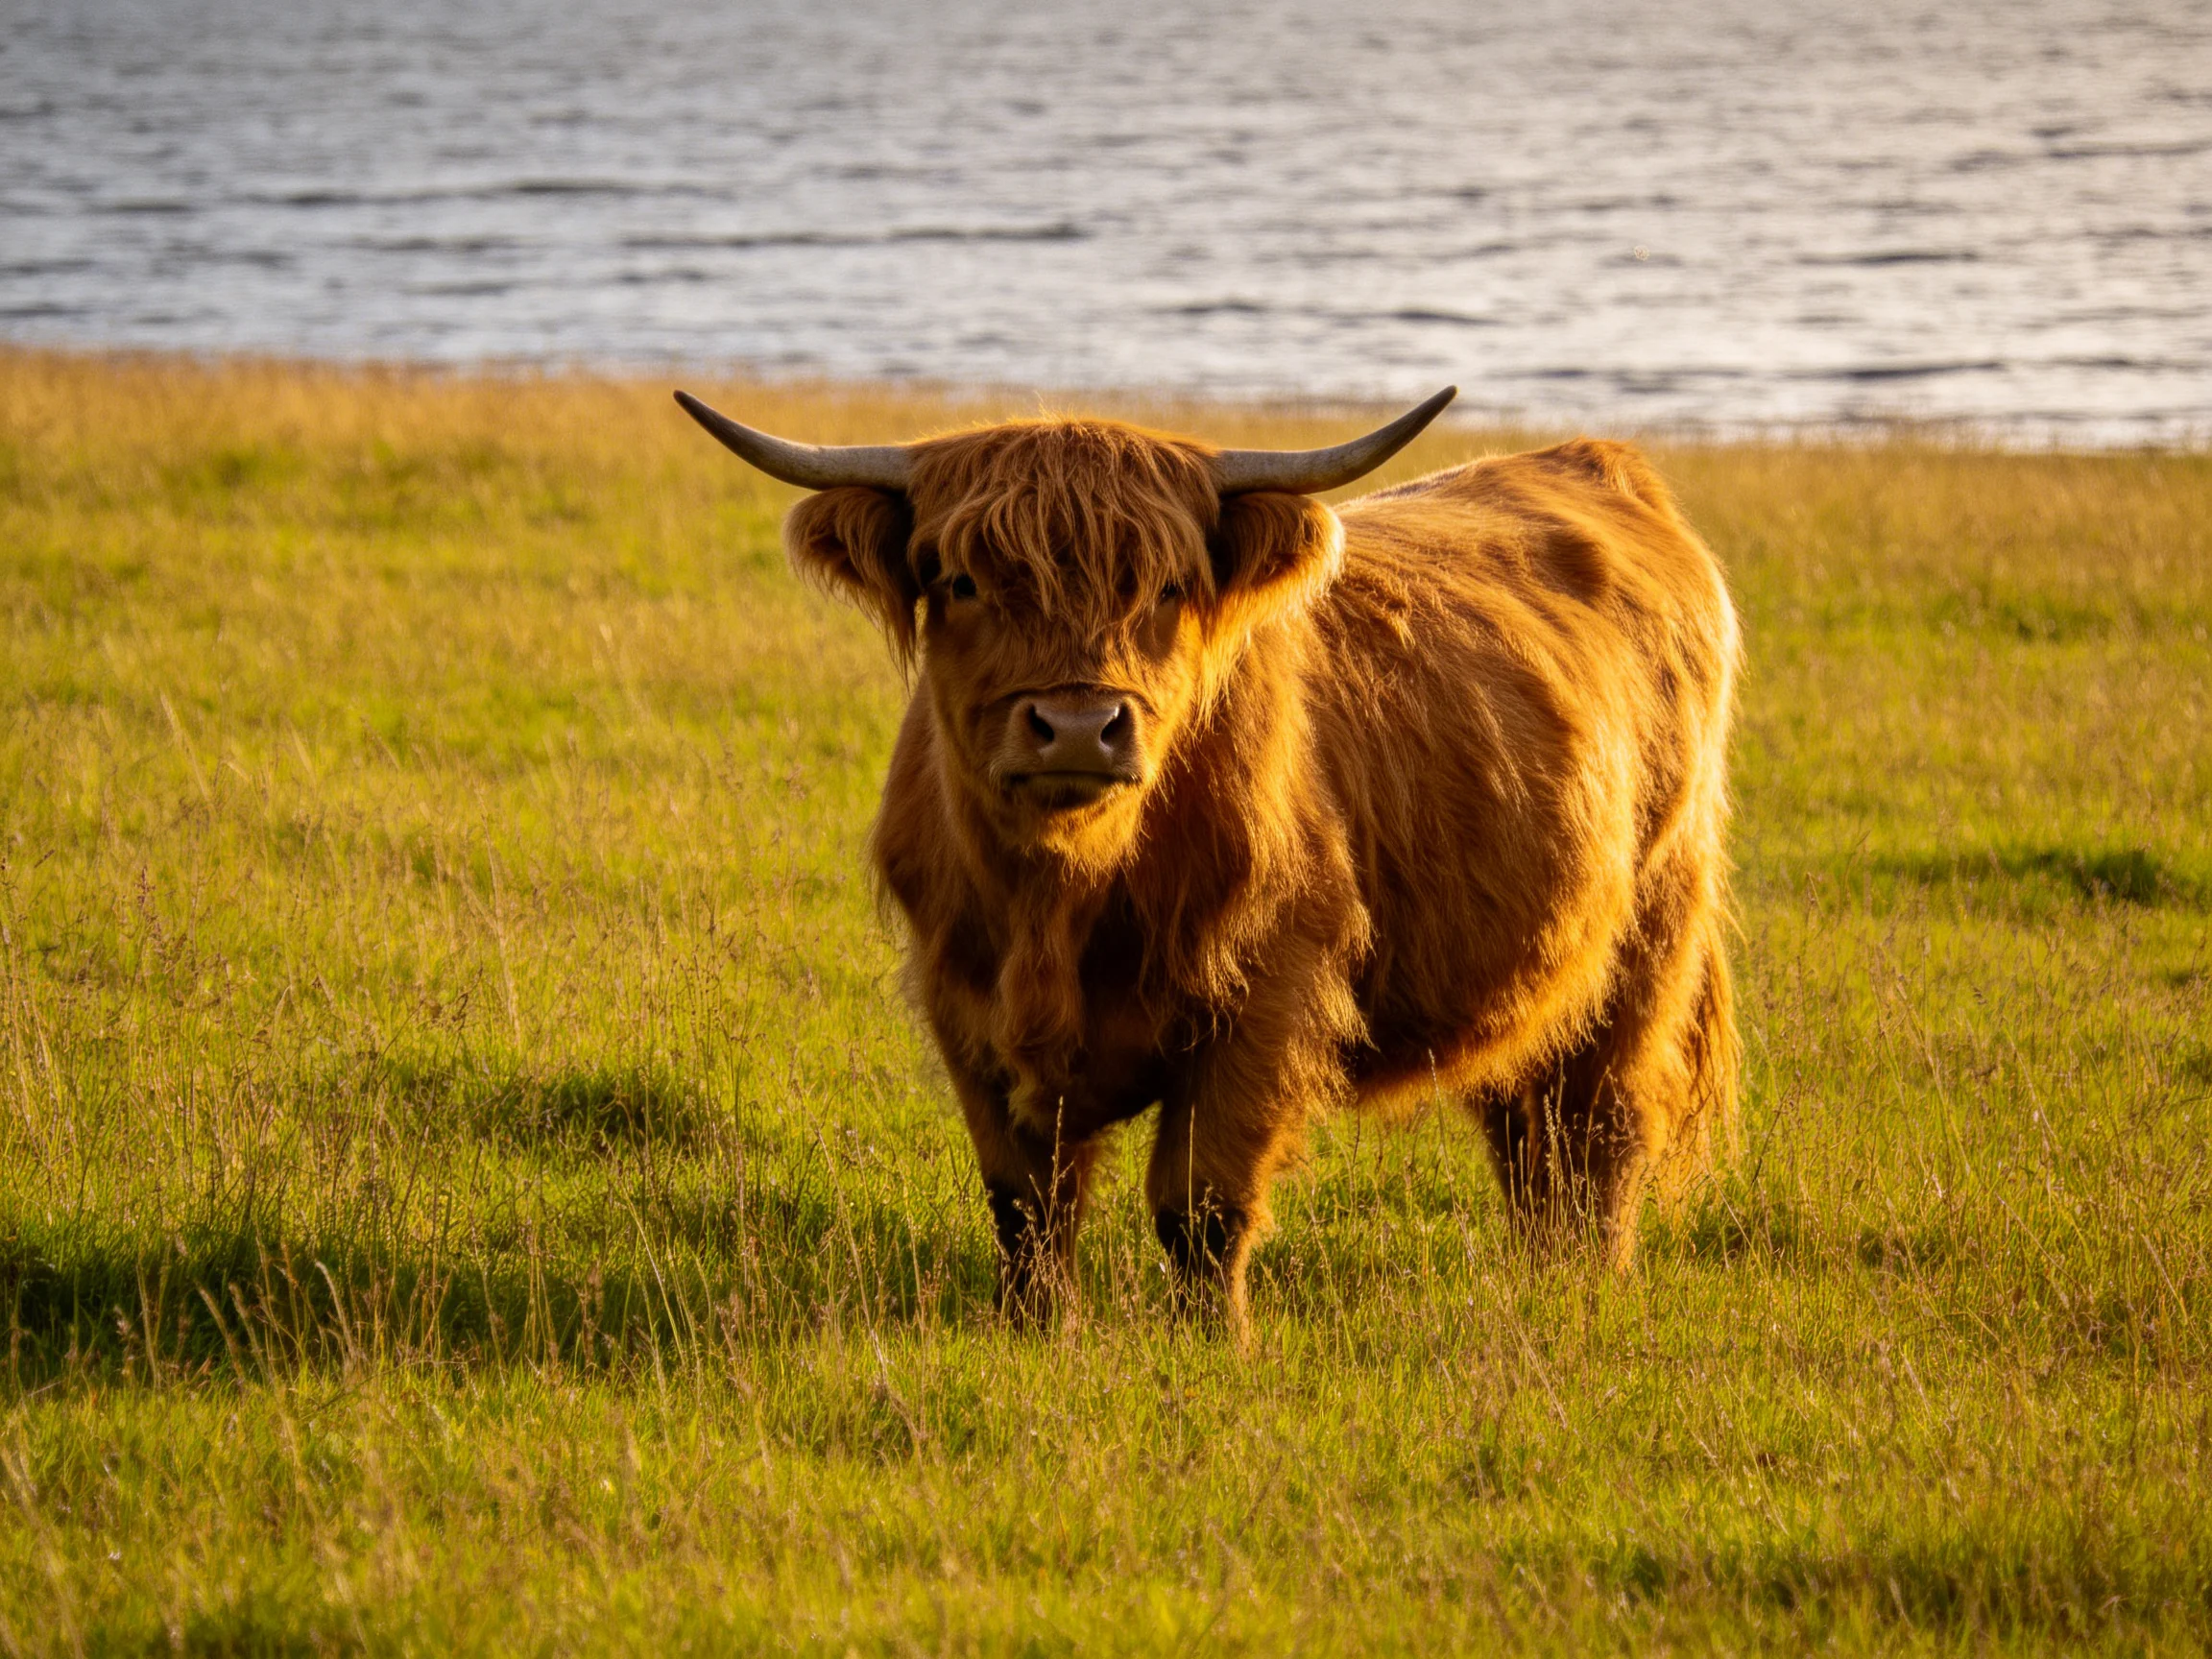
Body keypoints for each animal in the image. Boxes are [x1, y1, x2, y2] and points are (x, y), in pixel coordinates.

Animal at [677, 386, 1741, 1333]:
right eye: (963, 581)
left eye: (1168, 587)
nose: (1077, 728)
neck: (1062, 899)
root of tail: (1589, 460)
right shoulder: (960, 998)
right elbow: (1025, 1203)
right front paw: (1034, 1331)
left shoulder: (1266, 993)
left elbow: (1200, 1204)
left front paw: (1212, 1341)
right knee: (1527, 1129)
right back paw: (1543, 1274)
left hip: (1656, 920)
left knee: (1601, 1124)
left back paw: (1587, 1287)